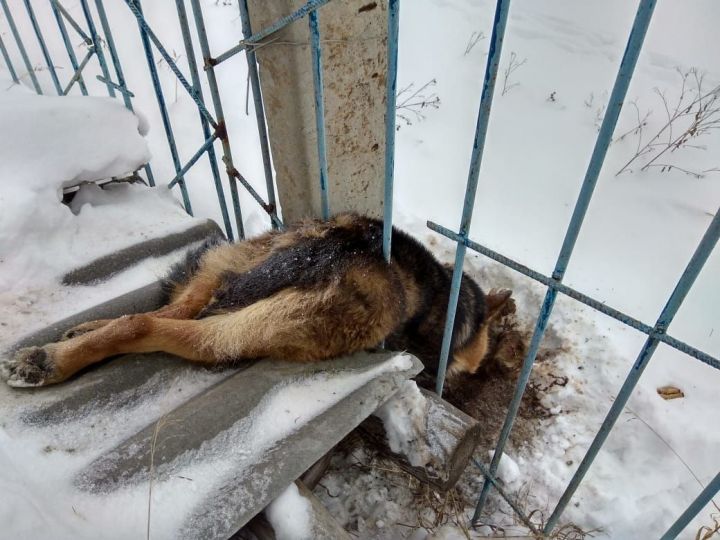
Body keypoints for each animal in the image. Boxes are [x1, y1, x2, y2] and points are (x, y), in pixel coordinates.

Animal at [0, 215, 510, 388]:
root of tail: (349, 243)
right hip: (239, 331)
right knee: (151, 326)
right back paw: (50, 363)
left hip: (234, 267)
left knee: (154, 312)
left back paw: (62, 343)